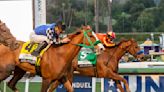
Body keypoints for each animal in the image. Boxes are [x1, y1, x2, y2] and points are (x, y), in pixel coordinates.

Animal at [7, 38, 144, 91]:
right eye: (136, 46)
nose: (142, 56)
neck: (110, 55)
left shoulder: (112, 75)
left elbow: (120, 84)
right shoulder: (106, 73)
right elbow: (124, 80)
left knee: (54, 86)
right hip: (67, 73)